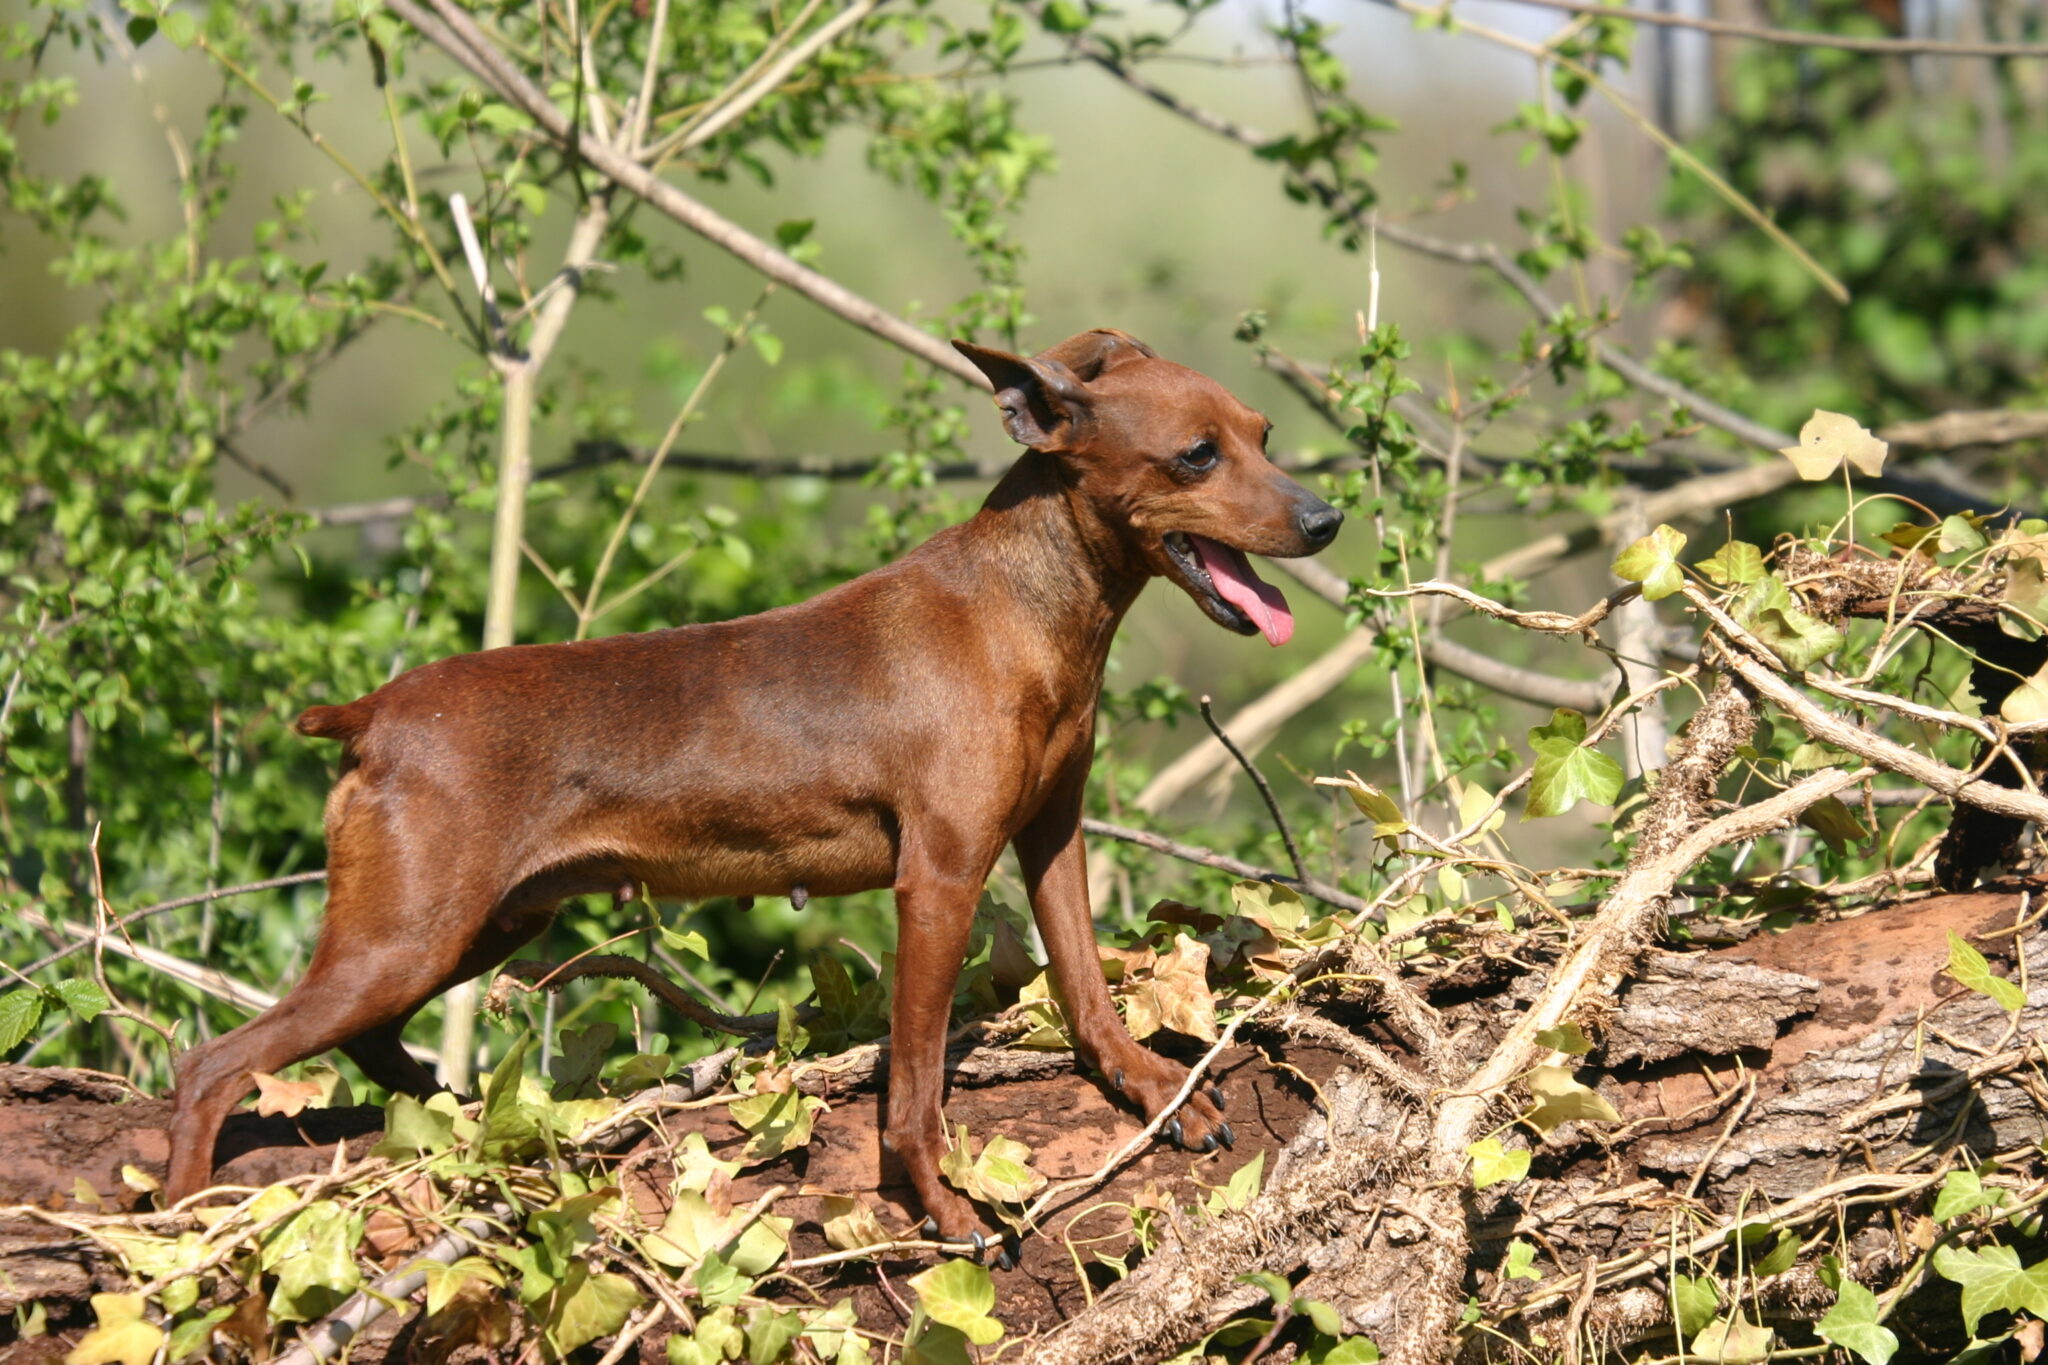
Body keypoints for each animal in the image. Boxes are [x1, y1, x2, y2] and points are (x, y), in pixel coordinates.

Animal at [163, 325, 1343, 1244]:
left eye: (1262, 434)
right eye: (1195, 456)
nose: (1326, 520)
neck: (1023, 606)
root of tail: (370, 715)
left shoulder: (1051, 836)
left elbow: (1087, 988)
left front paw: (1151, 1087)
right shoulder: (939, 879)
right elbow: (915, 1081)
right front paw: (938, 1204)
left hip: (473, 928)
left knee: (361, 1044)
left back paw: (457, 1111)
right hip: (407, 936)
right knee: (212, 1065)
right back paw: (174, 1217)